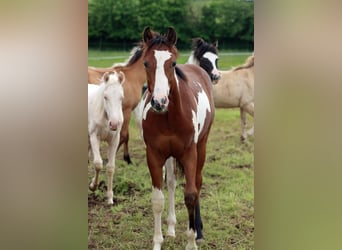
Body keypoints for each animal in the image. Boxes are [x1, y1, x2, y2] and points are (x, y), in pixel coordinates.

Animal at [88, 71, 125, 204]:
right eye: (105, 97)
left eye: (121, 97)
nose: (114, 124)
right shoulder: (94, 137)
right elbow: (98, 164)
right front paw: (93, 186)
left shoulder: (114, 140)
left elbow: (110, 167)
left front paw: (109, 197)